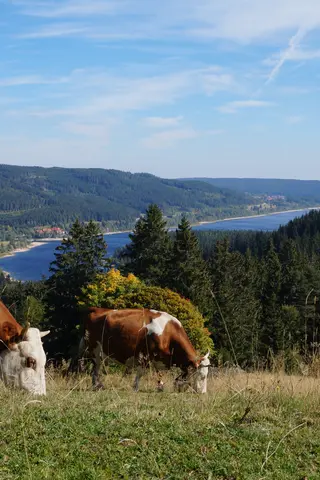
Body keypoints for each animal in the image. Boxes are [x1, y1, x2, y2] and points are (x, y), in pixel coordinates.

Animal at [78, 308, 210, 394]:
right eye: (202, 376)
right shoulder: (145, 355)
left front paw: (160, 387)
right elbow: (141, 373)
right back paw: (97, 386)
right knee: (95, 369)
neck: (168, 332)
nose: (203, 393)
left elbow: (159, 373)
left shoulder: (158, 357)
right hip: (95, 350)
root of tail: (96, 309)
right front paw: (135, 388)